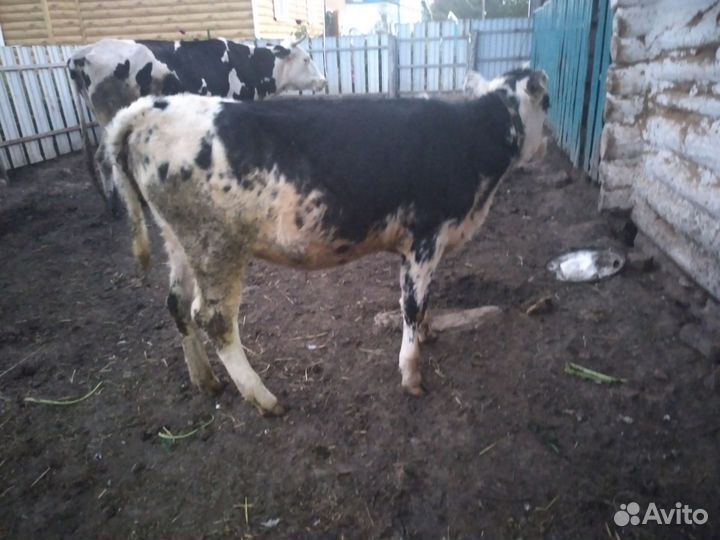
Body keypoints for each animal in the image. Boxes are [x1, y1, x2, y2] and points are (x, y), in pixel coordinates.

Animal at [103, 68, 550, 416]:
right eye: (546, 102)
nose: (548, 141)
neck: (472, 137)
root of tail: (152, 108)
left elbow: (423, 302)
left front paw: (427, 334)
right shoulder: (426, 236)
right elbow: (411, 305)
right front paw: (411, 372)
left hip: (179, 239)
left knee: (176, 303)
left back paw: (205, 379)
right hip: (217, 246)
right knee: (213, 318)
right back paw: (264, 399)